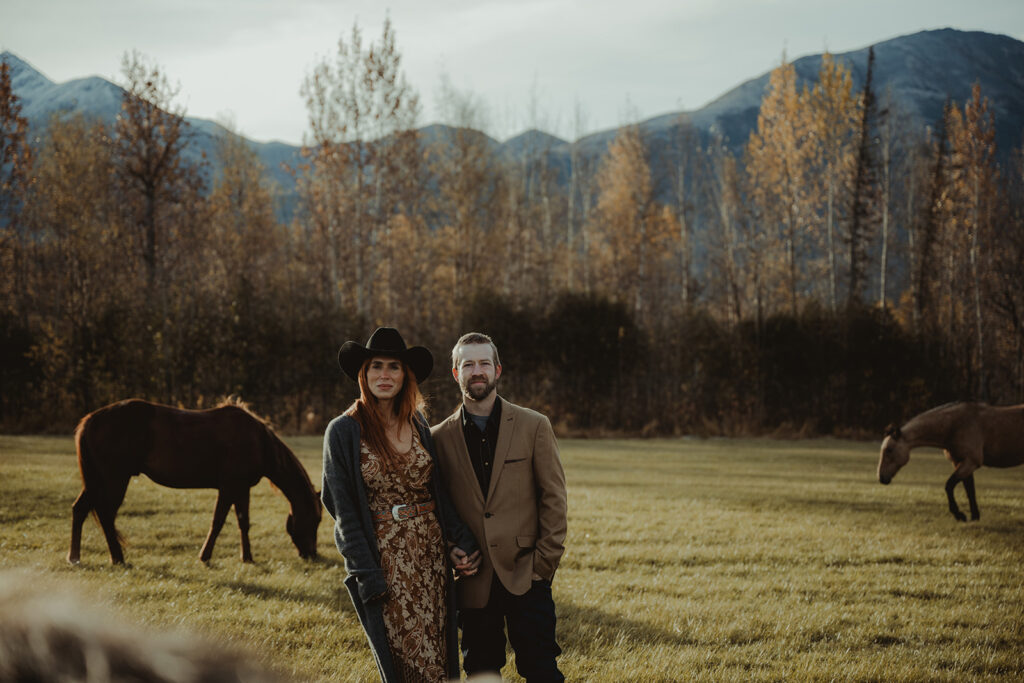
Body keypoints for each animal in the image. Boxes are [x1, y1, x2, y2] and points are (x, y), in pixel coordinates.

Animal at [68, 397, 321, 565]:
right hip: (114, 479)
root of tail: (89, 421)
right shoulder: (229, 487)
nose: (312, 554)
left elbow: (244, 522)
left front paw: (247, 557)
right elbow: (218, 521)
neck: (259, 442)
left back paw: (75, 557)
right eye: (316, 519)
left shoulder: (242, 489)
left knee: (80, 509)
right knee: (106, 515)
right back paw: (117, 558)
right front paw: (205, 556)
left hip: (97, 480)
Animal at [876, 403, 1024, 520]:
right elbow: (970, 490)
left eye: (889, 450)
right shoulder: (960, 463)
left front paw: (959, 514)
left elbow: (949, 485)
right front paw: (974, 516)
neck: (956, 425)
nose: (881, 478)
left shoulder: (971, 462)